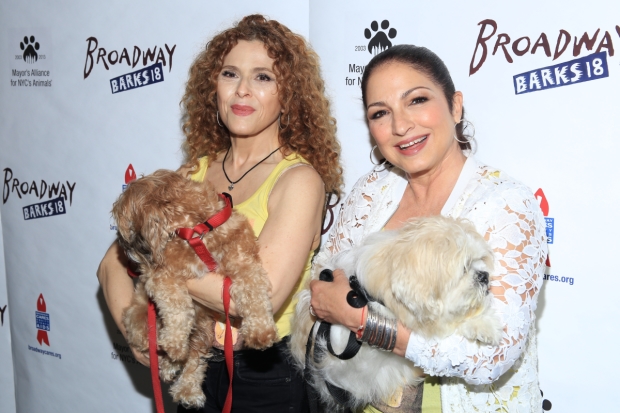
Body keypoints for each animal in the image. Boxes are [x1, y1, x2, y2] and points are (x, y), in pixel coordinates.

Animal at [111, 167, 278, 406]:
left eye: (123, 224)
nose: (123, 248)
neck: (196, 231)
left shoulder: (245, 264)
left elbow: (253, 292)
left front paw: (261, 331)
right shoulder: (162, 277)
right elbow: (177, 307)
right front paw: (174, 342)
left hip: (204, 328)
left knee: (195, 358)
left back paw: (187, 389)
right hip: (140, 320)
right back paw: (170, 363)